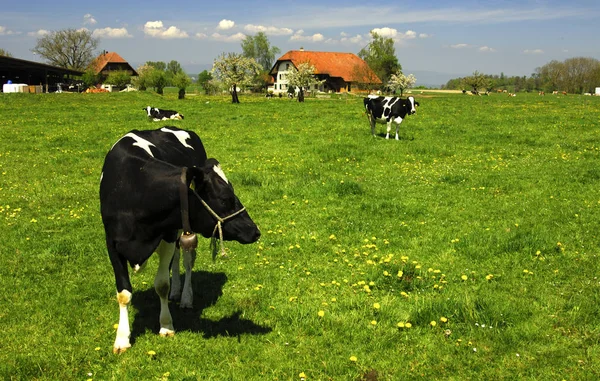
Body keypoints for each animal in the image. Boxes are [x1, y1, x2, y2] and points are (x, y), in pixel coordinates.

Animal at [100, 126, 260, 352]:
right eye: (225, 199)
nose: (255, 231)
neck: (135, 187)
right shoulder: (112, 243)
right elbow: (123, 293)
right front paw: (122, 339)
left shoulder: (167, 234)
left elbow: (162, 284)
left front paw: (166, 326)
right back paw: (176, 292)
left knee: (186, 260)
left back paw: (184, 297)